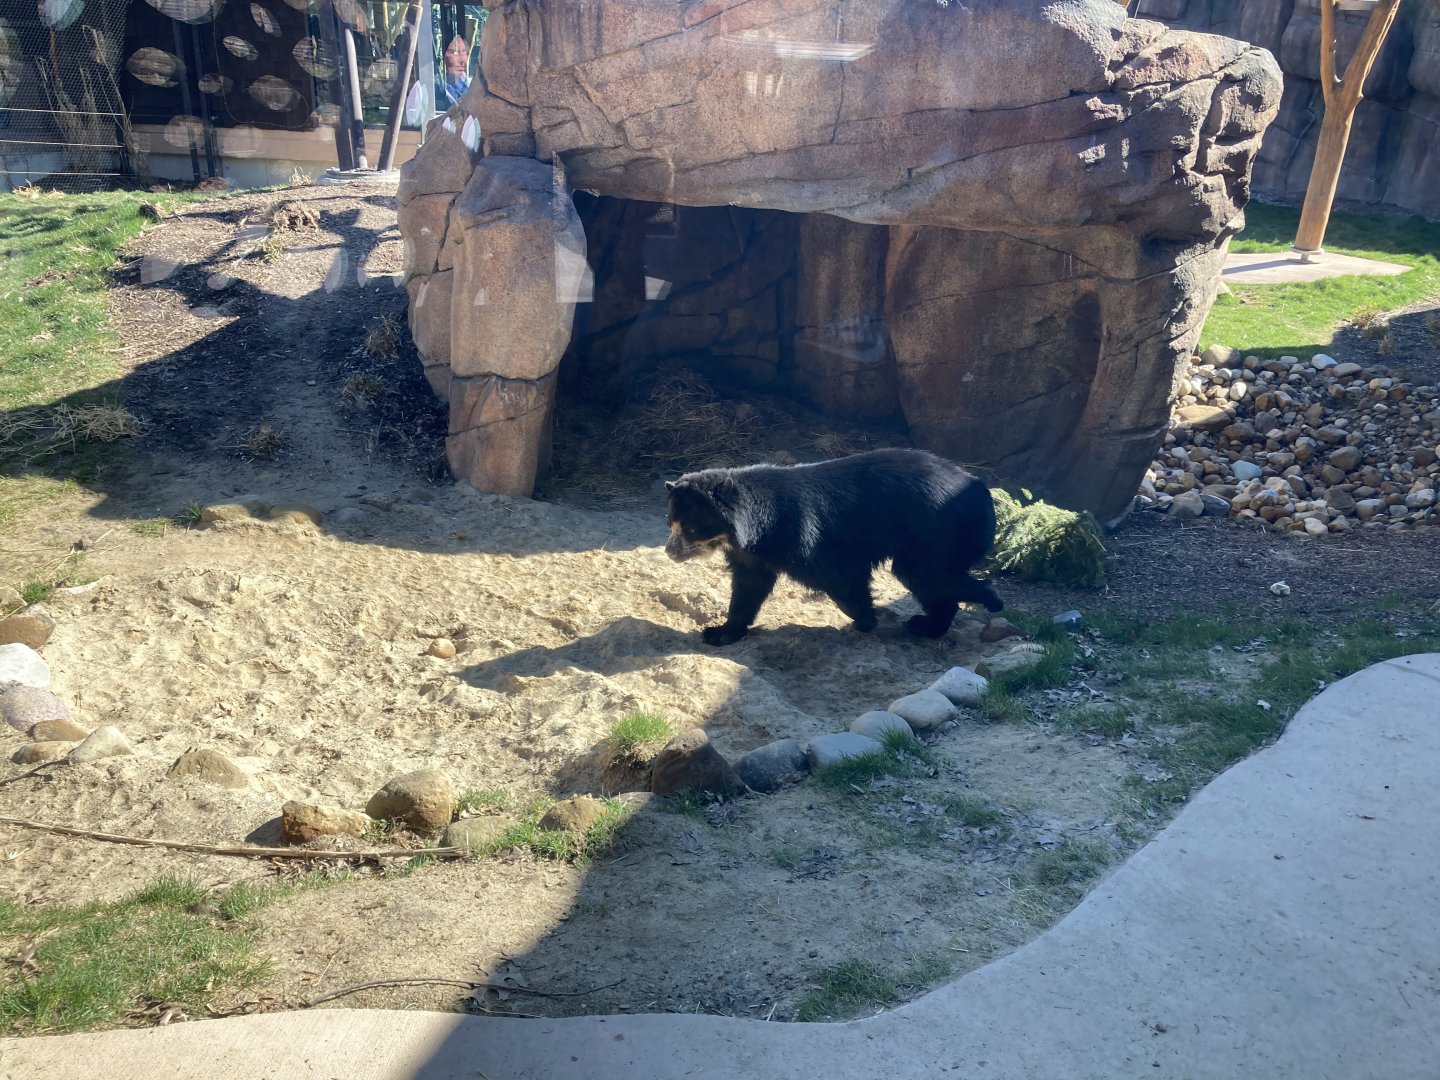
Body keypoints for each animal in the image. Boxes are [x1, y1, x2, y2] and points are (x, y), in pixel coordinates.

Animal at [664, 448, 1002, 646]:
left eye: (691, 529)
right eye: (671, 525)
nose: (670, 553)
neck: (753, 532)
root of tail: (984, 492)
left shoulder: (802, 536)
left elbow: (839, 575)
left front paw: (865, 620)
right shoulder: (751, 556)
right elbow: (748, 588)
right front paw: (720, 632)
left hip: (939, 530)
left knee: (926, 575)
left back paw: (986, 603)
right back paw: (928, 624)